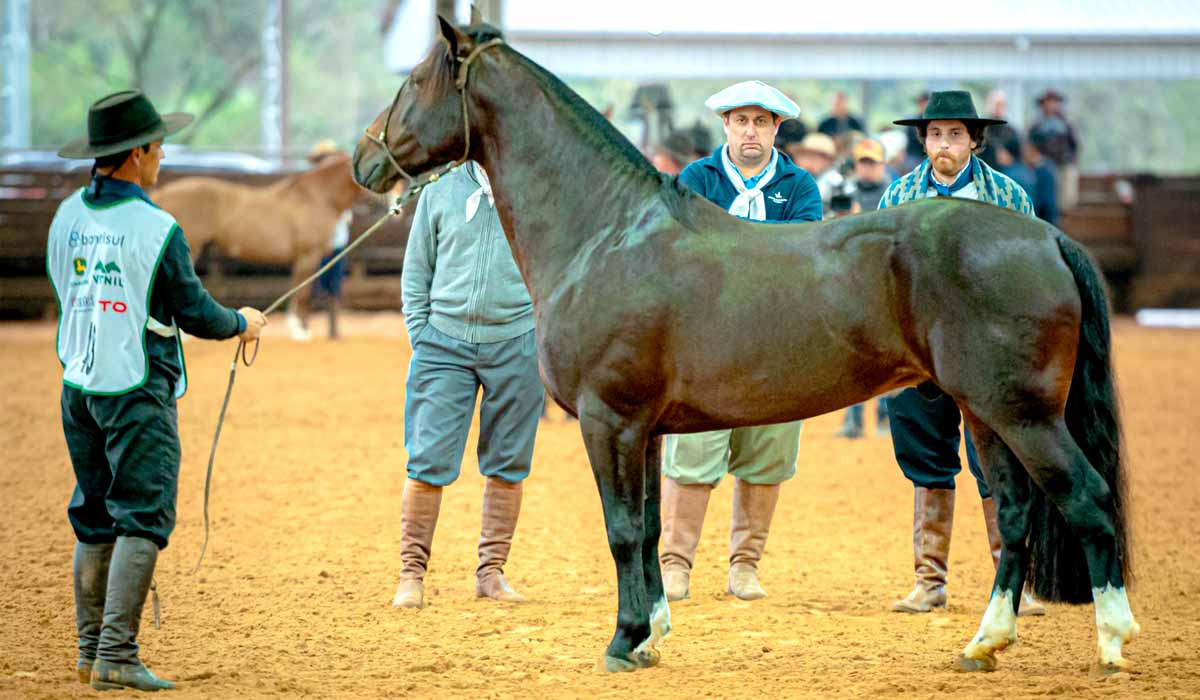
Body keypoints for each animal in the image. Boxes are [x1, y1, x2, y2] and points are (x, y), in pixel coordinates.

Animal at [352, 20, 1132, 672]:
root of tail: (1045, 236)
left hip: (1022, 415)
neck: (606, 231)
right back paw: (985, 643)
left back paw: (1113, 641)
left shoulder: (610, 420)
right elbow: (650, 526)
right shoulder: (645, 429)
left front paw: (621, 643)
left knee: (1087, 498)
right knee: (1016, 512)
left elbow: (621, 529)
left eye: (413, 82)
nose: (363, 160)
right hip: (987, 414)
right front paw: (651, 637)